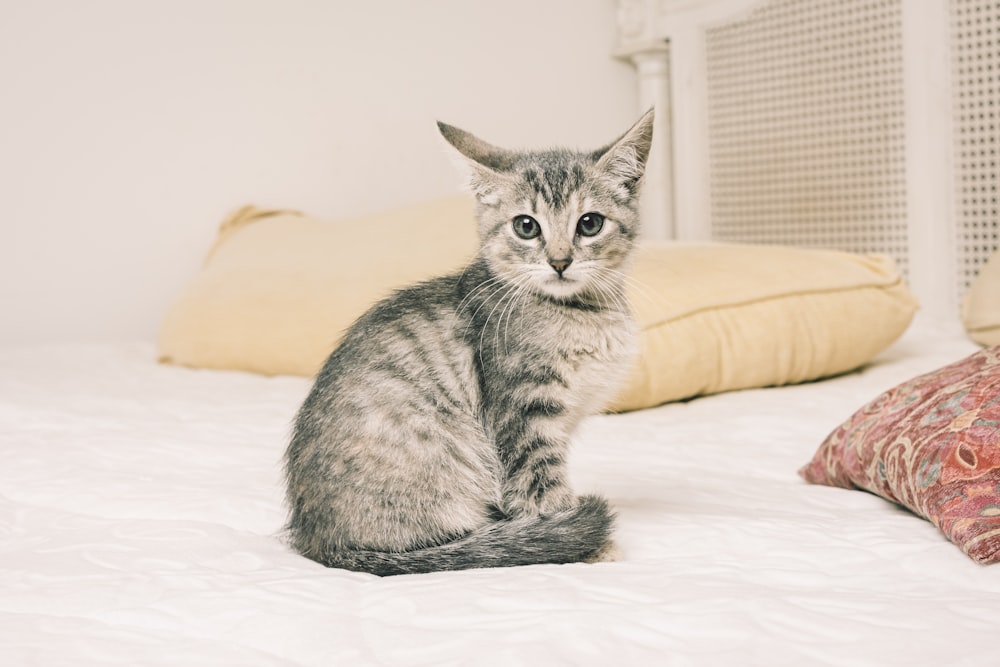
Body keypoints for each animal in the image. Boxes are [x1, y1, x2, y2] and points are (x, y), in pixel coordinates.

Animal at [284, 109, 656, 576]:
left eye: (589, 223)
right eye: (526, 226)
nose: (559, 261)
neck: (580, 312)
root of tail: (321, 544)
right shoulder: (524, 417)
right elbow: (542, 489)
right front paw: (587, 544)